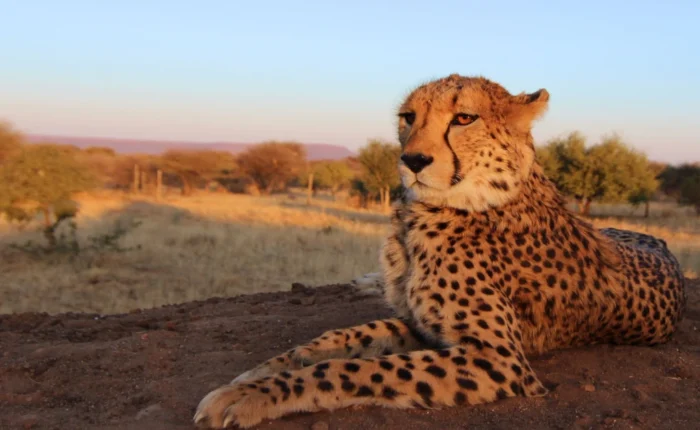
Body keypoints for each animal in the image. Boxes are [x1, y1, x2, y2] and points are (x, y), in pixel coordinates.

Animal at [193, 74, 686, 428]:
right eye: (407, 117)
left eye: (464, 118)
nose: (412, 161)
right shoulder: (422, 324)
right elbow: (343, 338)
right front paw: (260, 372)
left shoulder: (497, 358)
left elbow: (354, 370)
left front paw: (251, 396)